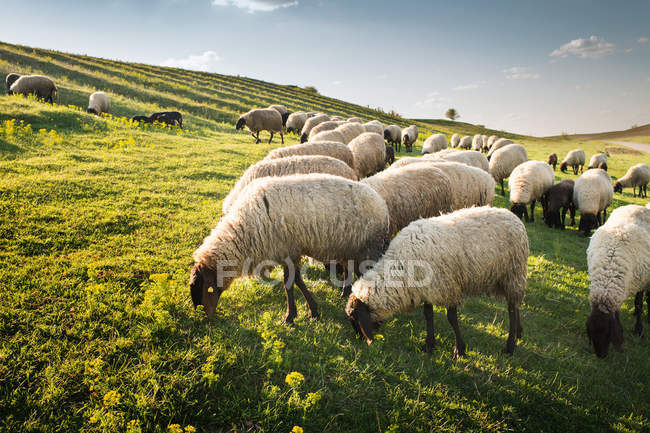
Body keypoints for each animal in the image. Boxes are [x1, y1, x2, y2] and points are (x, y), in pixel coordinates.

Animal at [190, 174, 388, 322]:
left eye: (208, 289)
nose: (206, 318)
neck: (245, 230)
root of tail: (382, 204)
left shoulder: (289, 250)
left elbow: (290, 283)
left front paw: (291, 316)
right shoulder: (287, 252)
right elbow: (297, 281)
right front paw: (312, 310)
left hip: (368, 247)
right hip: (349, 248)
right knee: (350, 269)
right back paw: (345, 292)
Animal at [344, 208, 528, 356]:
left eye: (355, 317)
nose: (361, 340)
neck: (402, 265)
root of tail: (512, 215)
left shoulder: (448, 286)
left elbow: (451, 318)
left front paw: (459, 350)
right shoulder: (427, 289)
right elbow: (428, 315)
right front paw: (429, 345)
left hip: (513, 274)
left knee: (512, 309)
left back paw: (510, 346)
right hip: (506, 278)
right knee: (516, 306)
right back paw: (519, 332)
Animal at [584, 204, 648, 356]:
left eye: (608, 334)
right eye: (592, 335)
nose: (601, 356)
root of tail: (636, 205)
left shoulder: (642, 282)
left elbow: (639, 303)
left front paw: (639, 330)